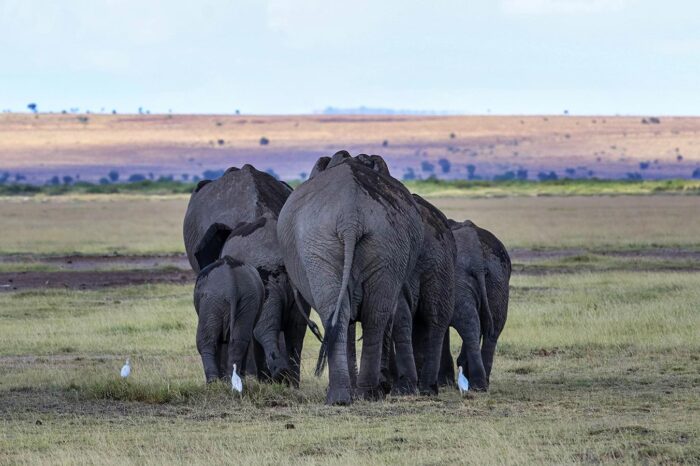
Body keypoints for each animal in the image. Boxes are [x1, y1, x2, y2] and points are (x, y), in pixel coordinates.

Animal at [277, 150, 424, 404]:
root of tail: (350, 216)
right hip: (377, 242)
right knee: (369, 314)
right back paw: (358, 394)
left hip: (354, 242)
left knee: (351, 313)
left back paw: (350, 395)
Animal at [438, 219, 511, 391]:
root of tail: (478, 260)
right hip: (499, 279)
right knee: (492, 327)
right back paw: (482, 383)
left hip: (463, 280)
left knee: (470, 325)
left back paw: (477, 384)